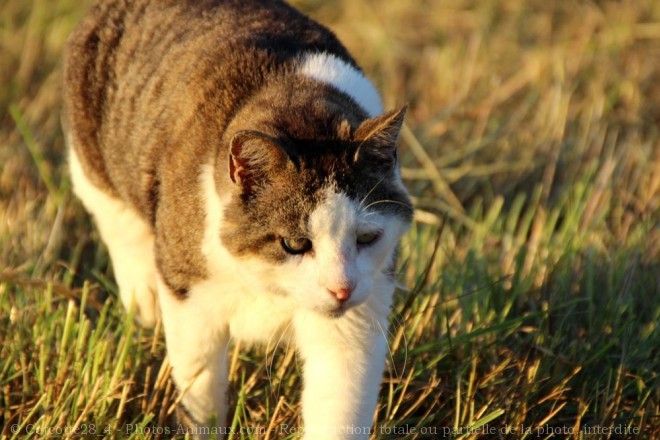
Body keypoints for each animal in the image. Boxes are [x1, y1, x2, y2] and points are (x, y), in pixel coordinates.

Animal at [62, 0, 412, 436]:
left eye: (366, 238)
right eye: (295, 244)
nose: (341, 290)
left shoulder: (356, 320)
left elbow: (340, 406)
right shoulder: (190, 298)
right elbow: (200, 393)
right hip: (95, 170)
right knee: (122, 231)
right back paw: (144, 302)